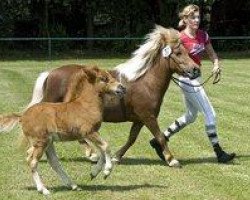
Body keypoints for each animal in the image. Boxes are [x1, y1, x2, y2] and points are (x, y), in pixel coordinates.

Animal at [0, 66, 125, 195]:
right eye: (103, 78)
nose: (121, 87)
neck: (85, 105)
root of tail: (22, 116)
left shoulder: (94, 133)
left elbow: (102, 152)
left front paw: (94, 173)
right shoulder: (89, 132)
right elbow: (106, 146)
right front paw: (107, 171)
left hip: (48, 142)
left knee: (54, 162)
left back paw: (73, 185)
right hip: (41, 141)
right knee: (32, 161)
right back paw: (44, 190)